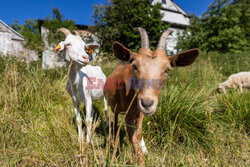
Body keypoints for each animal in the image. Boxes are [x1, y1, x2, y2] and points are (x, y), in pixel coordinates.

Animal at [103, 27, 199, 166]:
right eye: (135, 66)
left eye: (167, 69)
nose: (147, 103)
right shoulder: (128, 114)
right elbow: (133, 139)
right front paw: (140, 161)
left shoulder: (139, 113)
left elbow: (138, 134)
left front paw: (145, 151)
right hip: (113, 107)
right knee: (114, 122)